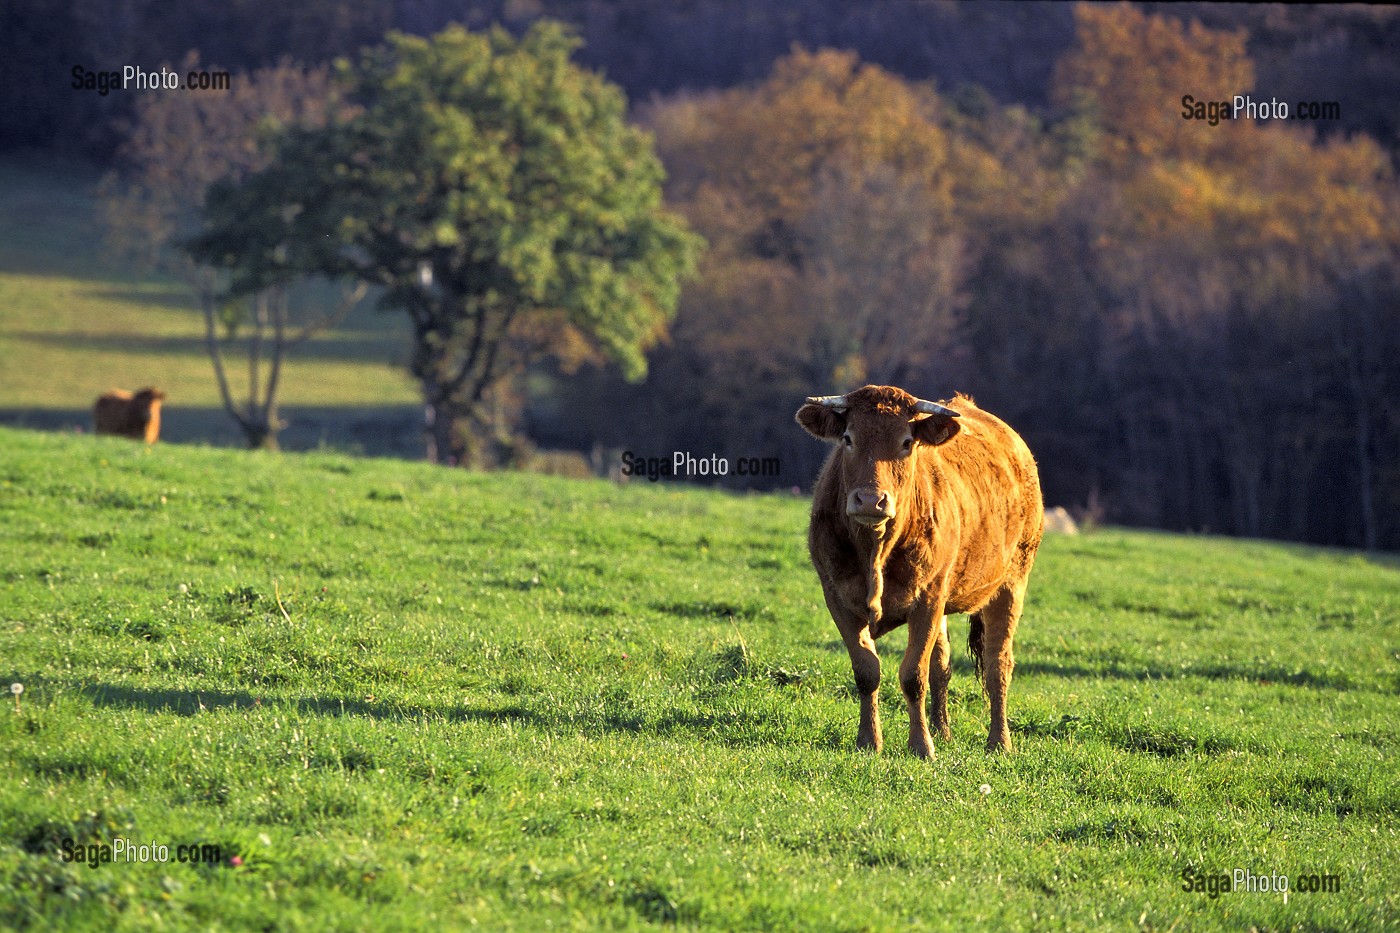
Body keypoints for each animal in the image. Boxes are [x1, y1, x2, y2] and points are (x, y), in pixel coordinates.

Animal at [796, 385, 1042, 756]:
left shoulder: (927, 599)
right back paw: (943, 731)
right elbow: (867, 671)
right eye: (848, 438)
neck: (875, 552)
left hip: (1012, 583)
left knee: (997, 665)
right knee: (942, 665)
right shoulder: (837, 597)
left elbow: (913, 675)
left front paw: (921, 746)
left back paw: (999, 741)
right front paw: (869, 740)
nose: (870, 500)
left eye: (906, 442)